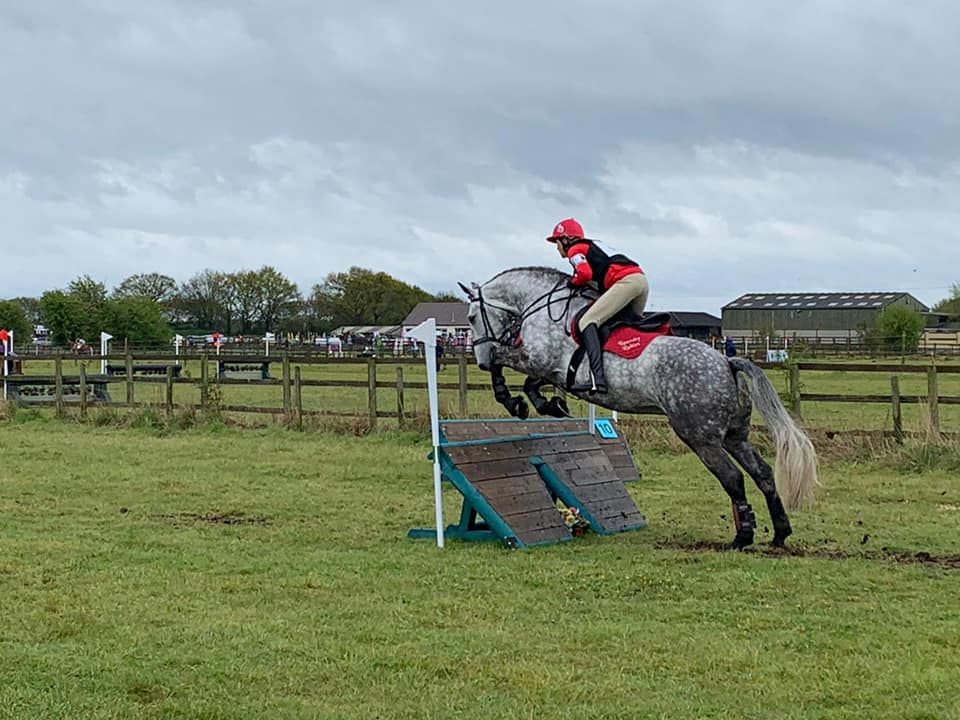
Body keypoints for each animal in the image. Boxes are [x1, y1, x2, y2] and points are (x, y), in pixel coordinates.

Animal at [460, 268, 816, 548]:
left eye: (472, 318)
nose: (478, 360)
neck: (543, 307)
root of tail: (727, 362)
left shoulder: (540, 360)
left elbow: (505, 363)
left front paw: (513, 400)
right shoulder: (551, 369)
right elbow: (531, 384)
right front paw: (549, 405)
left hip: (699, 436)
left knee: (732, 478)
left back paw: (742, 537)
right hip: (734, 436)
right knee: (763, 473)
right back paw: (780, 533)